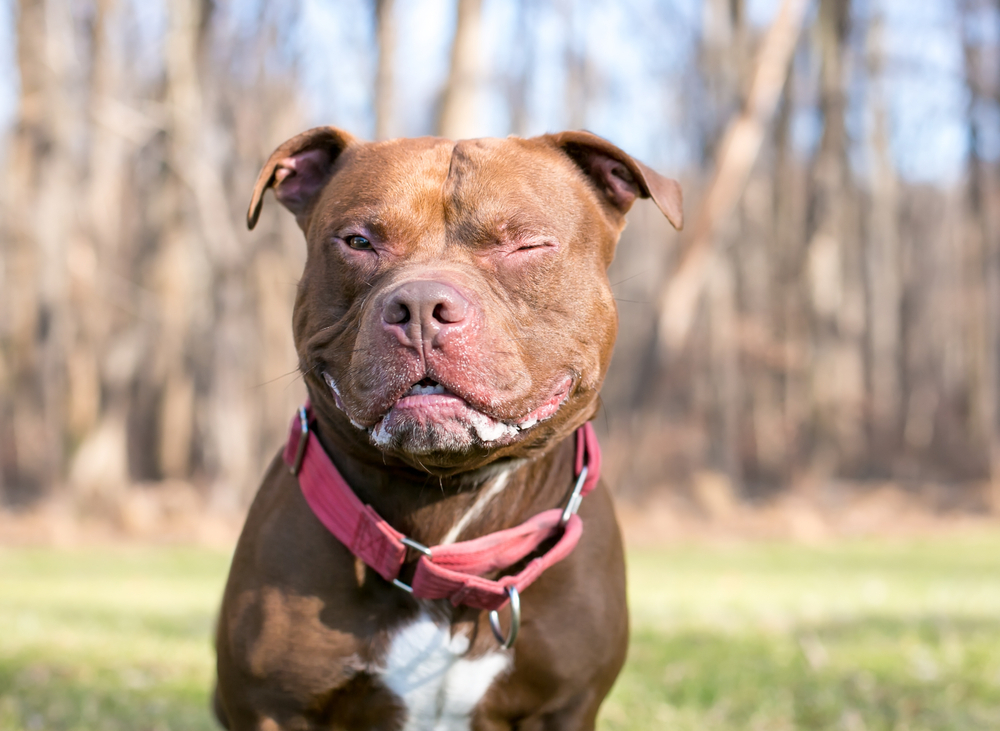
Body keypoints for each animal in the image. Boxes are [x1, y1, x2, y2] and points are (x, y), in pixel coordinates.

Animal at [210, 129, 680, 728]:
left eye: (527, 246)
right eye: (359, 242)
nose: (419, 305)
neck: (443, 525)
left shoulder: (565, 707)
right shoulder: (274, 705)